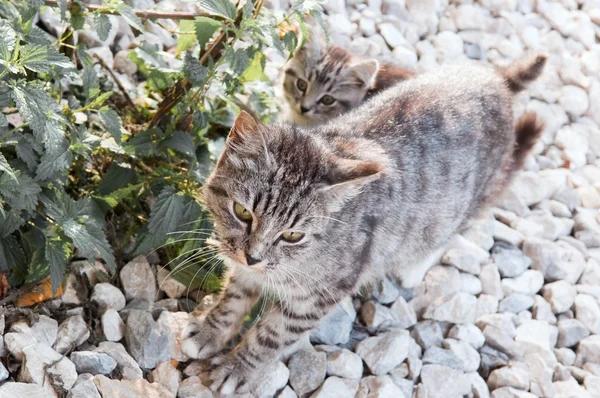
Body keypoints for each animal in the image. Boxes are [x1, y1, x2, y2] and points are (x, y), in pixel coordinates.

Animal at [180, 53, 548, 394]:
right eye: (243, 213)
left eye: (293, 235)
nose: (253, 256)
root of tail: (493, 77)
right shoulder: (247, 267)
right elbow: (234, 295)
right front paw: (211, 329)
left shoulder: (321, 295)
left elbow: (272, 335)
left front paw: (238, 366)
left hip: (465, 200)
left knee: (454, 228)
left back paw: (414, 266)